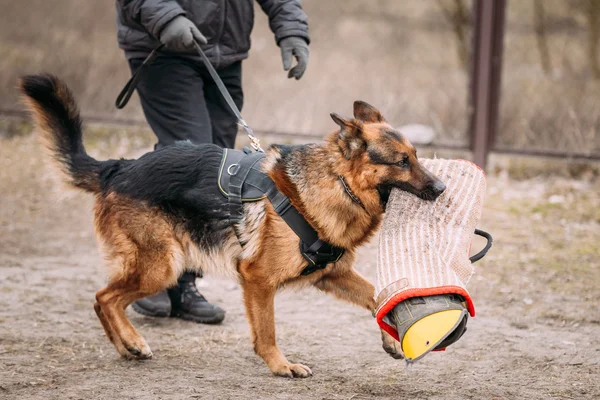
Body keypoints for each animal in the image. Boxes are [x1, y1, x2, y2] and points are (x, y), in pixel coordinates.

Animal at [19, 75, 446, 378]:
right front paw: (281, 366)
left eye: (416, 155)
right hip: (162, 266)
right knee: (104, 297)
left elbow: (379, 298)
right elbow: (268, 330)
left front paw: (391, 339)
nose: (442, 188)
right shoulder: (257, 278)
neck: (336, 181)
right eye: (401, 161)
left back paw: (126, 347)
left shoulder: (332, 273)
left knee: (103, 299)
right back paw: (132, 342)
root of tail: (118, 166)